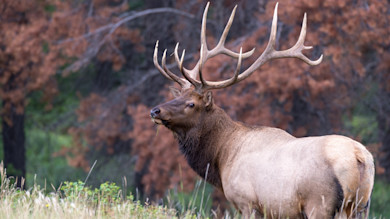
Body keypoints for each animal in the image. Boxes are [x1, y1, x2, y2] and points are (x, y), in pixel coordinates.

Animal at [150, 2, 374, 218]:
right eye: (177, 96)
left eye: (191, 104)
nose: (155, 111)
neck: (222, 157)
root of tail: (359, 157)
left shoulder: (247, 202)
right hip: (360, 205)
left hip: (319, 203)